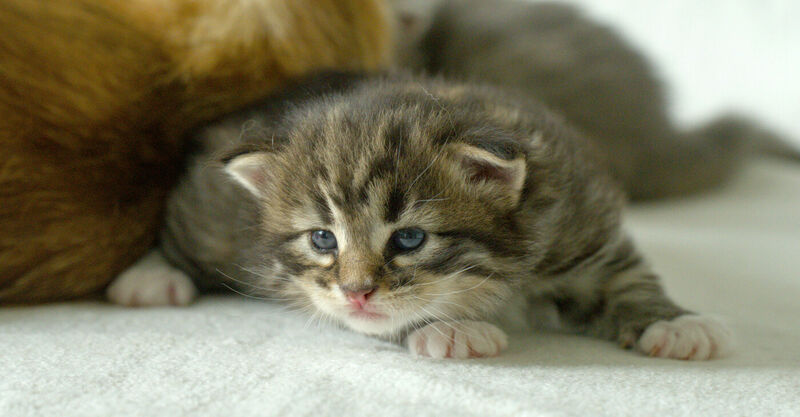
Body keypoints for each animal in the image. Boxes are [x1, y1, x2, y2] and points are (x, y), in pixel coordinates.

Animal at [109, 73, 736, 360]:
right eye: (322, 239)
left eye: (409, 239)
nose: (356, 291)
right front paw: (451, 328)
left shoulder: (581, 222)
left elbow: (626, 275)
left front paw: (673, 323)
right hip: (209, 217)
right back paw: (151, 276)